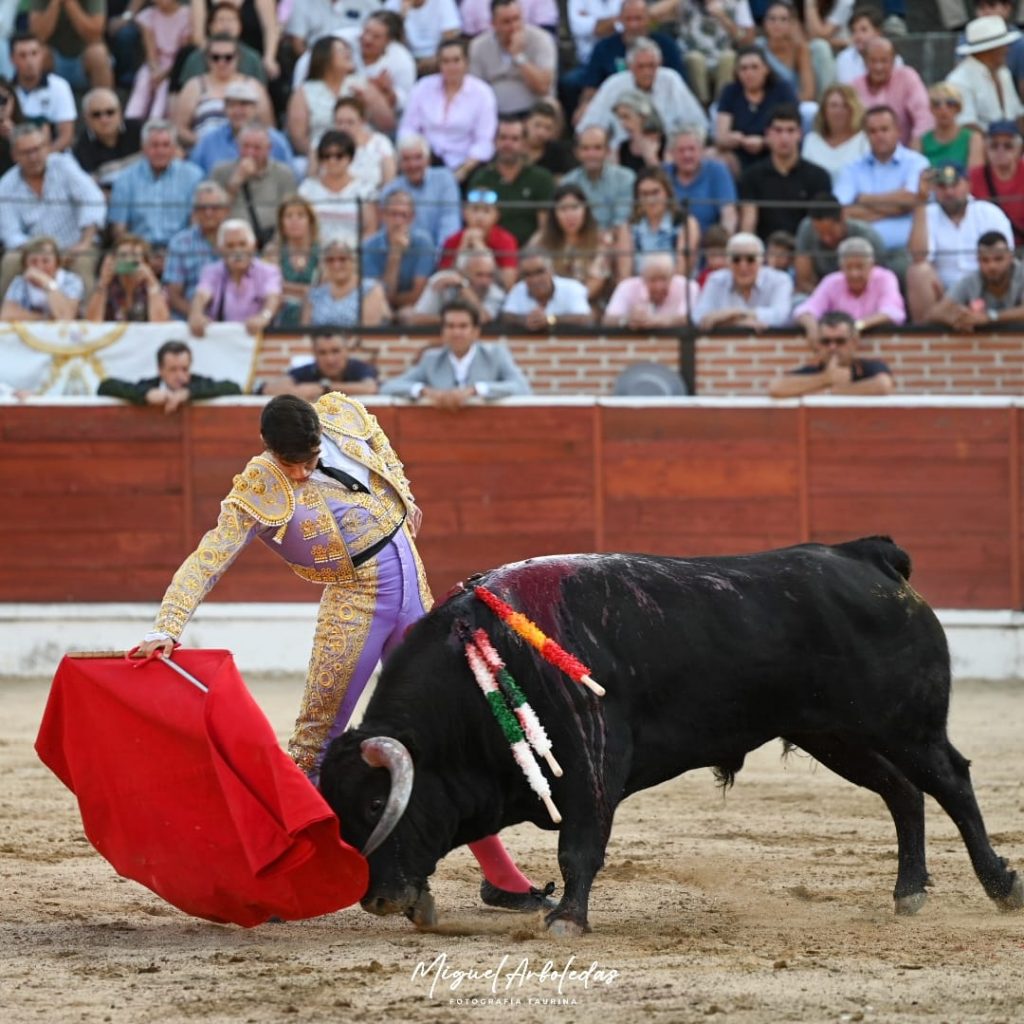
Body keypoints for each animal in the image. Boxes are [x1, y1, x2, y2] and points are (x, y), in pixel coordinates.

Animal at [319, 536, 1024, 937]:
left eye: (378, 803)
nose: (377, 900)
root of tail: (868, 556)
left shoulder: (594, 760)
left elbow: (580, 848)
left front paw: (565, 920)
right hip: (836, 735)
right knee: (904, 794)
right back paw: (909, 894)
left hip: (903, 724)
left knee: (952, 782)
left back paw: (999, 886)